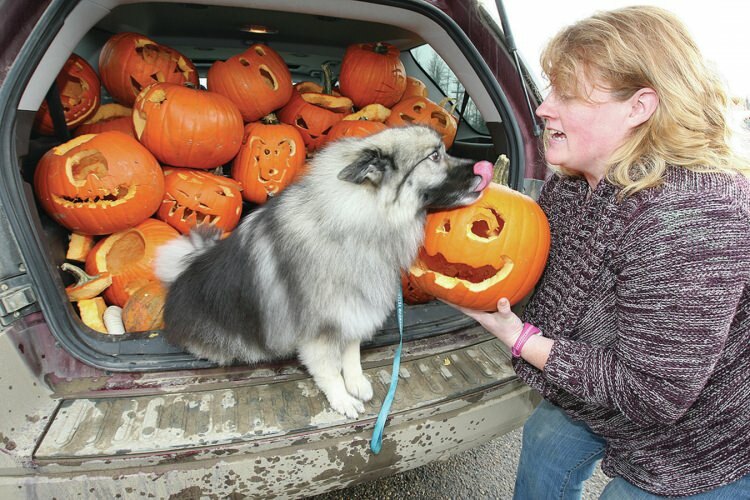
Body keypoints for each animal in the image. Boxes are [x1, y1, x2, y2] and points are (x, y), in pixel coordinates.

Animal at [154, 126, 494, 418]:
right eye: (434, 156)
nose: (485, 166)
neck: (358, 223)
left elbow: (352, 352)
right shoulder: (319, 329)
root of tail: (181, 275)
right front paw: (342, 398)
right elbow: (329, 369)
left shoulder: (354, 310)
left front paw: (355, 382)